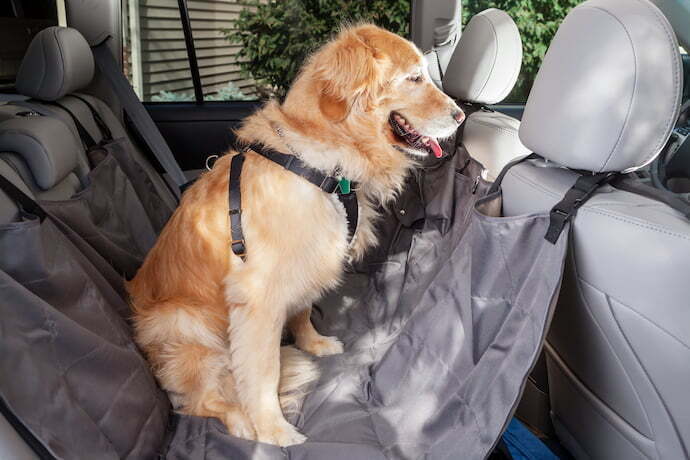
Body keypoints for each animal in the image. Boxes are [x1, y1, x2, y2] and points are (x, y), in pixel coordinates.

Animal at [129, 22, 462, 446]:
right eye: (415, 78)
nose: (461, 115)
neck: (324, 165)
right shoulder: (258, 298)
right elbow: (263, 372)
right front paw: (272, 429)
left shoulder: (307, 262)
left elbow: (303, 311)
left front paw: (314, 343)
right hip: (182, 322)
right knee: (197, 400)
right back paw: (240, 420)